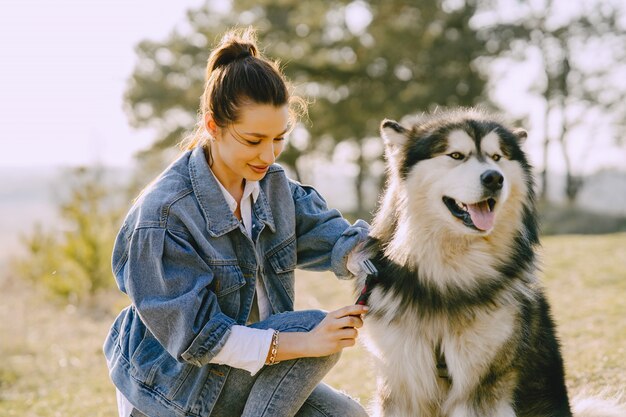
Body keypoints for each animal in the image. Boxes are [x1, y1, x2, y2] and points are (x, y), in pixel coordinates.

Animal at [356, 108, 624, 416]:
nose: (495, 178)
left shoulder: (482, 387)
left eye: (497, 157)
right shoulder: (402, 383)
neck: (449, 274)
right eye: (456, 155)